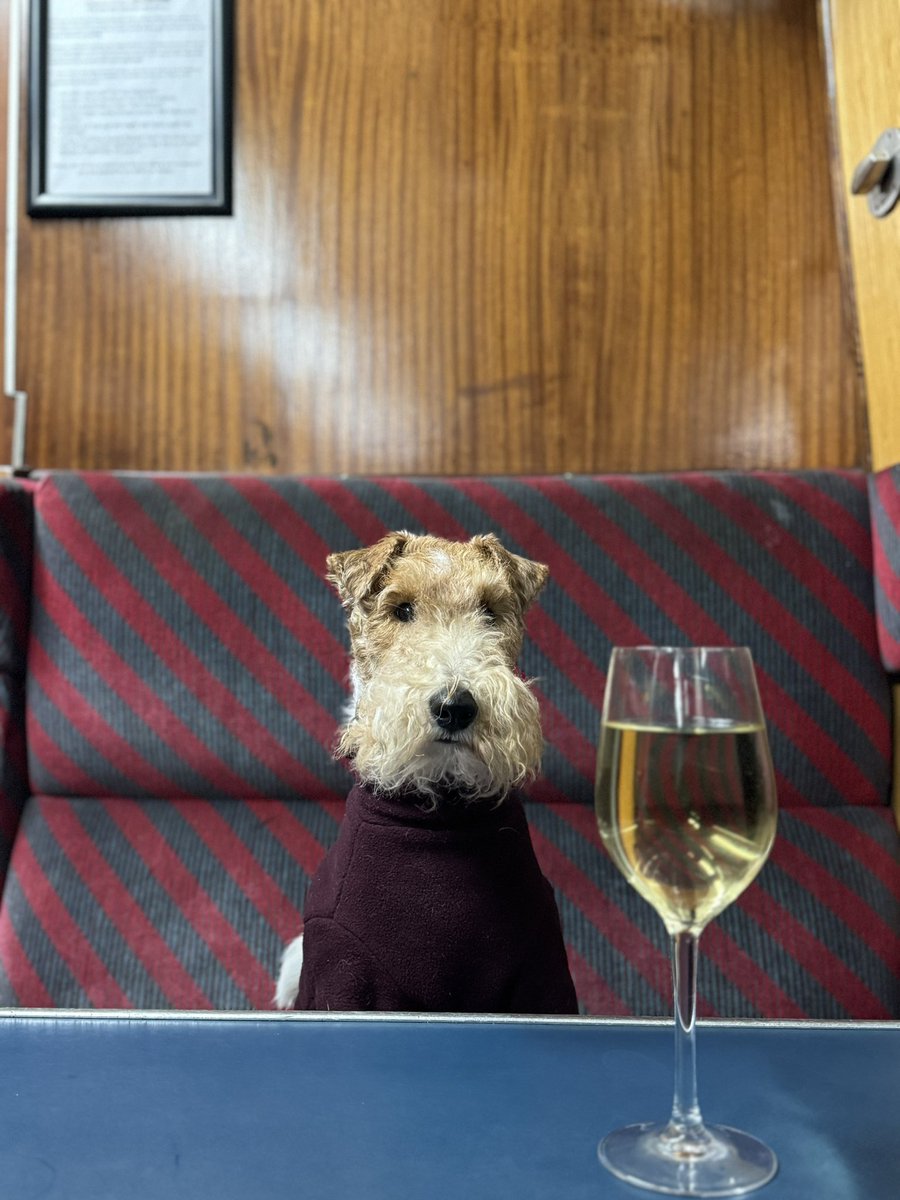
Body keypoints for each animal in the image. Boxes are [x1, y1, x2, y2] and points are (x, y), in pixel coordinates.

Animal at [274, 535, 580, 1012]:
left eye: (491, 610)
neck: (441, 810)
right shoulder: (346, 972)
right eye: (401, 609)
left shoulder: (540, 970)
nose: (455, 707)